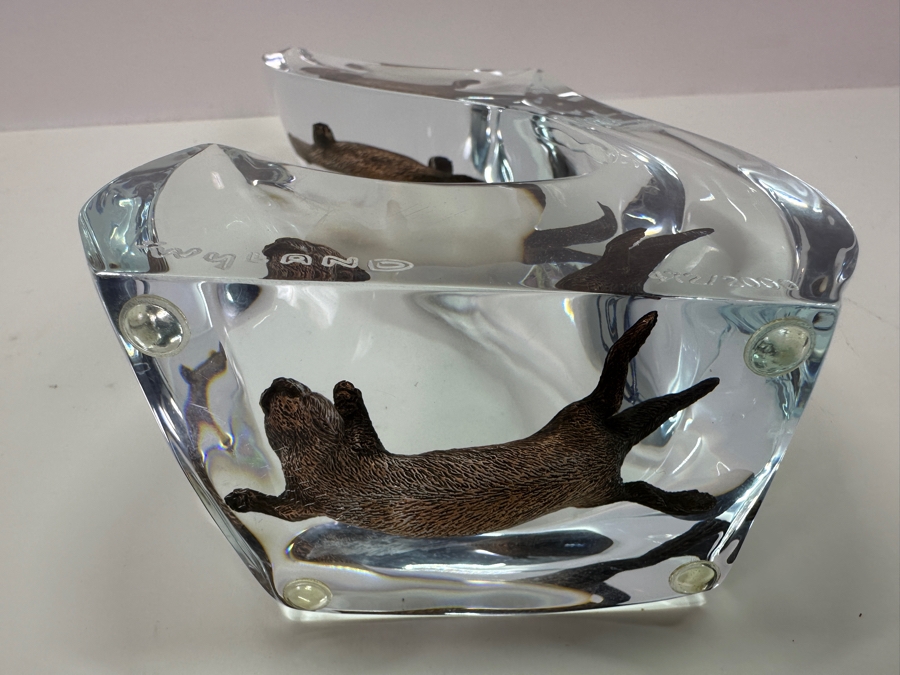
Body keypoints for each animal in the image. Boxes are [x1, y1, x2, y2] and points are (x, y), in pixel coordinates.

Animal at [224, 311, 718, 538]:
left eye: (303, 391)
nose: (275, 384)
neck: (324, 465)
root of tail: (613, 445)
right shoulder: (306, 499)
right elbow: (282, 509)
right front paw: (241, 497)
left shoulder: (356, 454)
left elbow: (362, 427)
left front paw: (346, 393)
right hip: (595, 484)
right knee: (634, 483)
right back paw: (694, 499)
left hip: (575, 419)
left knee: (609, 389)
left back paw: (645, 326)